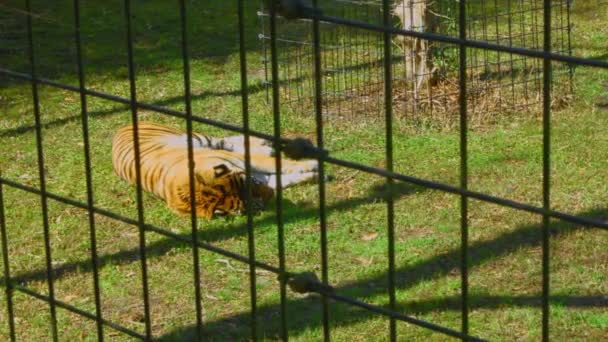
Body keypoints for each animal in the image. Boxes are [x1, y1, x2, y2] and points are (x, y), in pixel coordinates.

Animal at [111, 123, 318, 219]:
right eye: (253, 204)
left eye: (250, 183)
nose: (270, 196)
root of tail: (121, 127)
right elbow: (284, 177)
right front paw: (314, 173)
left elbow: (280, 164)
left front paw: (313, 166)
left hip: (198, 138)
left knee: (225, 139)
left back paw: (264, 143)